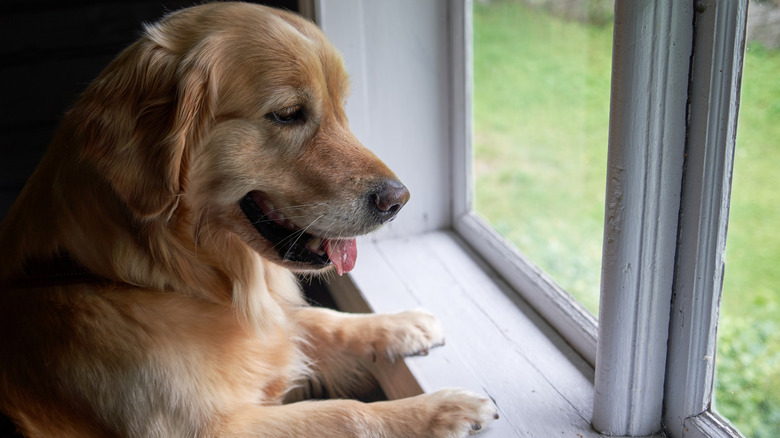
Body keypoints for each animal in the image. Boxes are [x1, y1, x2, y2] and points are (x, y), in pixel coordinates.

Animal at [0, 3, 496, 438]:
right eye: (288, 114)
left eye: (342, 108)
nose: (400, 200)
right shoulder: (208, 429)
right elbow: (346, 413)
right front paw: (441, 410)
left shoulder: (271, 326)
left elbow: (318, 318)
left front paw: (399, 325)